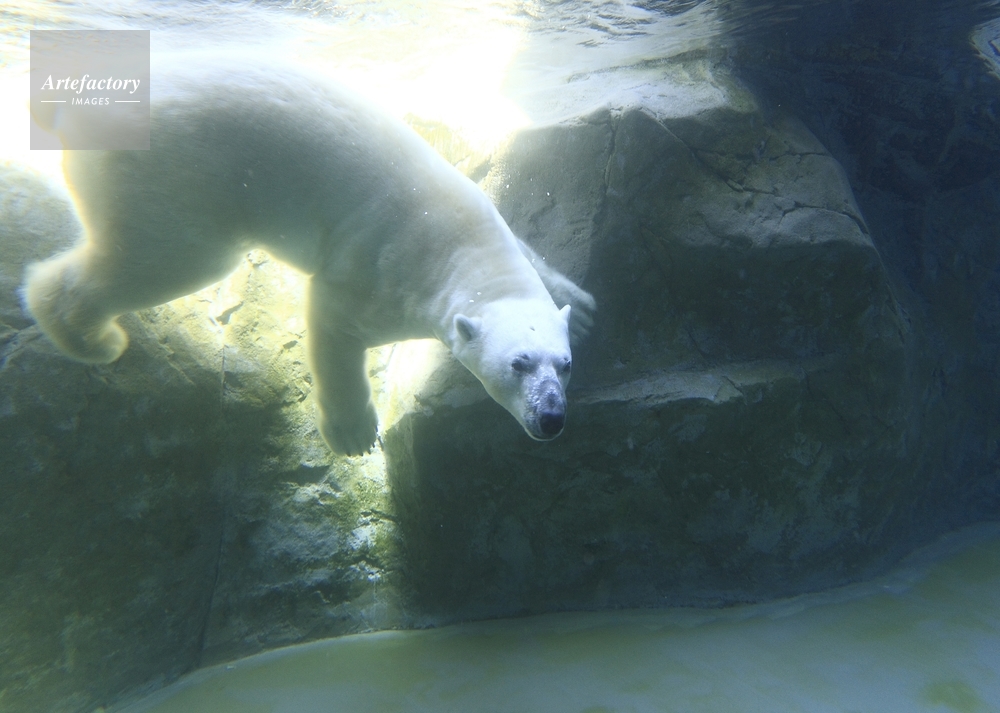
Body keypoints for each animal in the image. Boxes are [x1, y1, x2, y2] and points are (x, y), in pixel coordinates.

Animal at [24, 59, 596, 456]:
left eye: (565, 365)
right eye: (519, 364)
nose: (552, 419)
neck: (463, 243)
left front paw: (584, 306)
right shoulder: (385, 270)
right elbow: (334, 322)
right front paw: (354, 433)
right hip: (175, 175)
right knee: (169, 257)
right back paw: (90, 336)